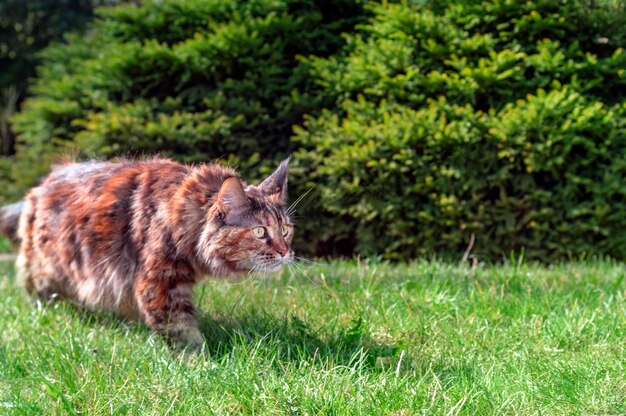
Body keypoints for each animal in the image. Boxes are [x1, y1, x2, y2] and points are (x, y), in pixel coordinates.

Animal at [0, 158, 292, 350]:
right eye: (260, 232)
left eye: (285, 230)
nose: (285, 251)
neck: (182, 215)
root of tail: (40, 186)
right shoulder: (160, 283)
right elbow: (182, 330)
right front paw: (201, 364)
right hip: (48, 265)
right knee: (35, 287)